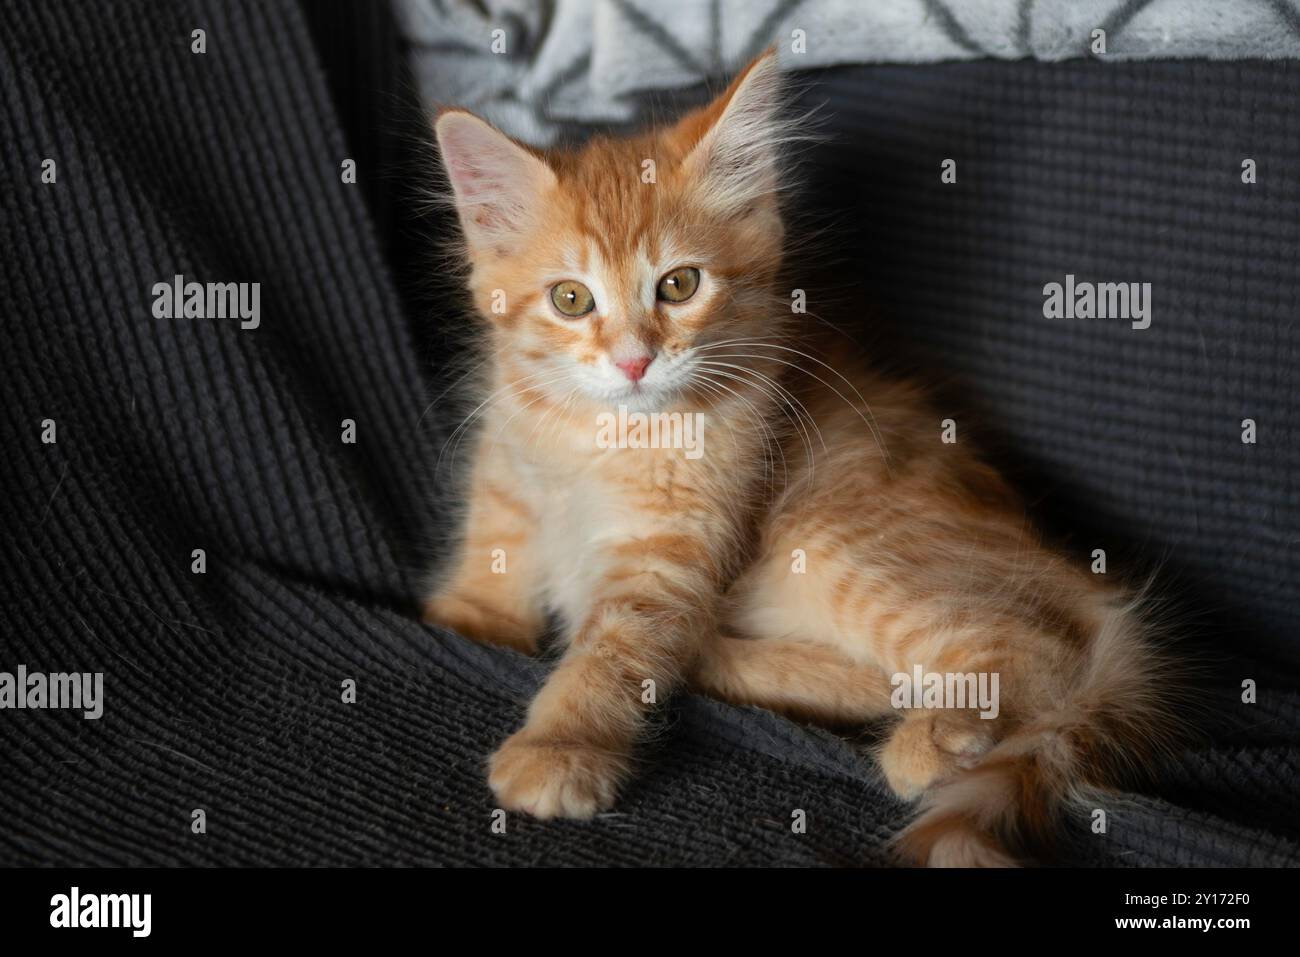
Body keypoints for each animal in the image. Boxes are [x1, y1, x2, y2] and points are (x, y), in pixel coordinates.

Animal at [423, 52, 1180, 868]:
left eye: (679, 285)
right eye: (570, 299)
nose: (634, 361)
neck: (600, 440)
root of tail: (1087, 584)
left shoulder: (669, 550)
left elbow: (612, 650)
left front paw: (559, 746)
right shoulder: (505, 466)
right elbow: (492, 549)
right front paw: (466, 619)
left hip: (833, 531)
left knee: (1036, 649)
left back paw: (927, 735)